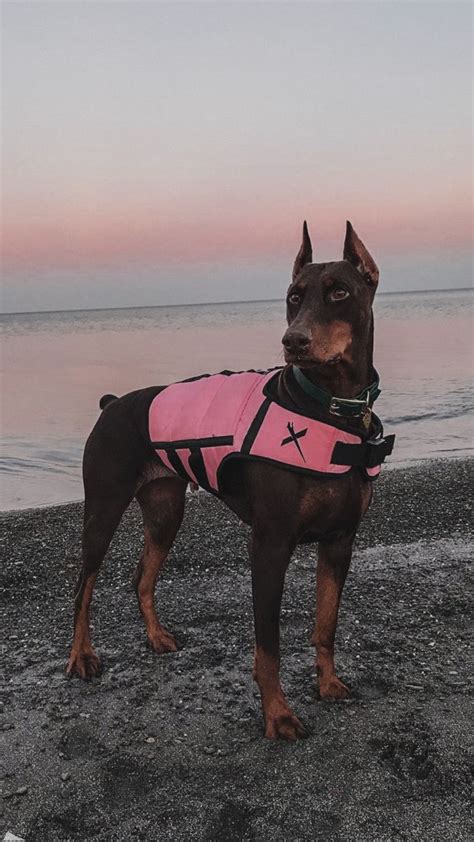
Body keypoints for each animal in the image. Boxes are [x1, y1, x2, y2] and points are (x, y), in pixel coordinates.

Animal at [66, 221, 392, 736]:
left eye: (339, 291)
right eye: (293, 296)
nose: (293, 341)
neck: (332, 408)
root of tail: (113, 403)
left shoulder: (341, 540)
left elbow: (325, 624)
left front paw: (328, 683)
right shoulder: (270, 544)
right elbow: (268, 646)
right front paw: (278, 715)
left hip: (165, 510)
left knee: (142, 576)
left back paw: (156, 636)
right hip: (103, 506)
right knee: (85, 585)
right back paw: (81, 656)